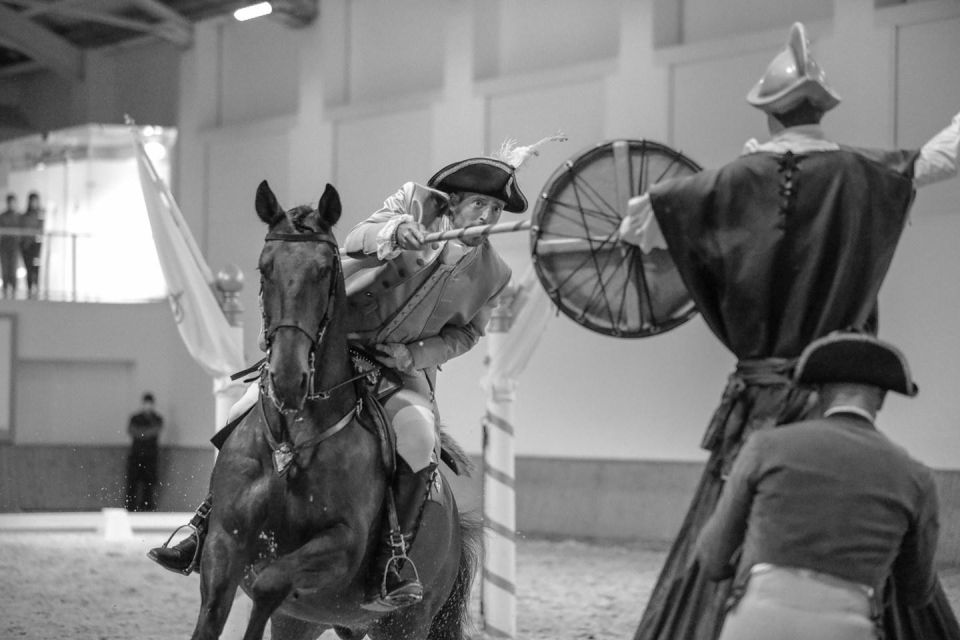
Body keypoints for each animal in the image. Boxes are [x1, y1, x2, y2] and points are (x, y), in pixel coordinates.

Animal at [193, 180, 480, 640]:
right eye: (264, 269)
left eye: (325, 270)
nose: (287, 378)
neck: (293, 439)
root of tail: (456, 526)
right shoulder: (224, 540)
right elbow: (213, 613)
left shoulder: (342, 546)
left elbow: (268, 584)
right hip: (314, 621)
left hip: (405, 624)